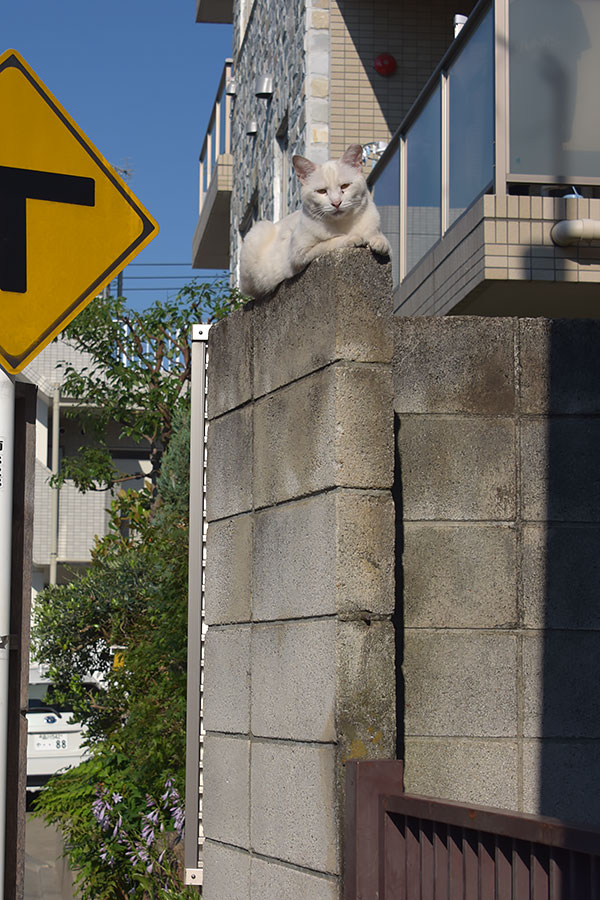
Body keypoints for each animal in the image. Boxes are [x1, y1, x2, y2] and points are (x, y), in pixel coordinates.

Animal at [240, 144, 394, 298]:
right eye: (321, 191)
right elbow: (330, 242)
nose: (336, 203)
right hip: (260, 230)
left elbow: (380, 238)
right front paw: (353, 238)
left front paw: (379, 242)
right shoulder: (300, 254)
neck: (343, 224)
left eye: (345, 186)